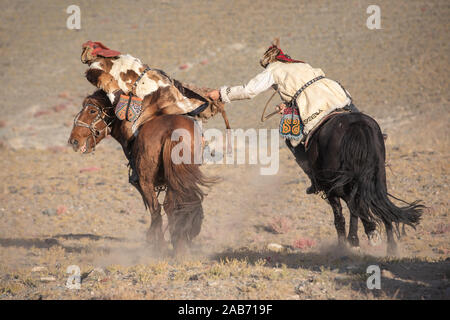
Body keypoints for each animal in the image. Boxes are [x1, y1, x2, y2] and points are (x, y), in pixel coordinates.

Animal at [67, 90, 214, 255]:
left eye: (92, 111)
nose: (73, 140)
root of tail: (172, 132)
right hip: (176, 179)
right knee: (173, 205)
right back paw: (179, 244)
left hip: (146, 181)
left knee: (157, 209)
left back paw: (162, 246)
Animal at [286, 112, 424, 255]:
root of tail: (358, 125)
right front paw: (372, 232)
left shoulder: (331, 188)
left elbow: (340, 215)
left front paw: (344, 245)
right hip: (377, 176)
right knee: (381, 204)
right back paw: (390, 248)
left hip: (337, 183)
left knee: (353, 205)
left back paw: (354, 241)